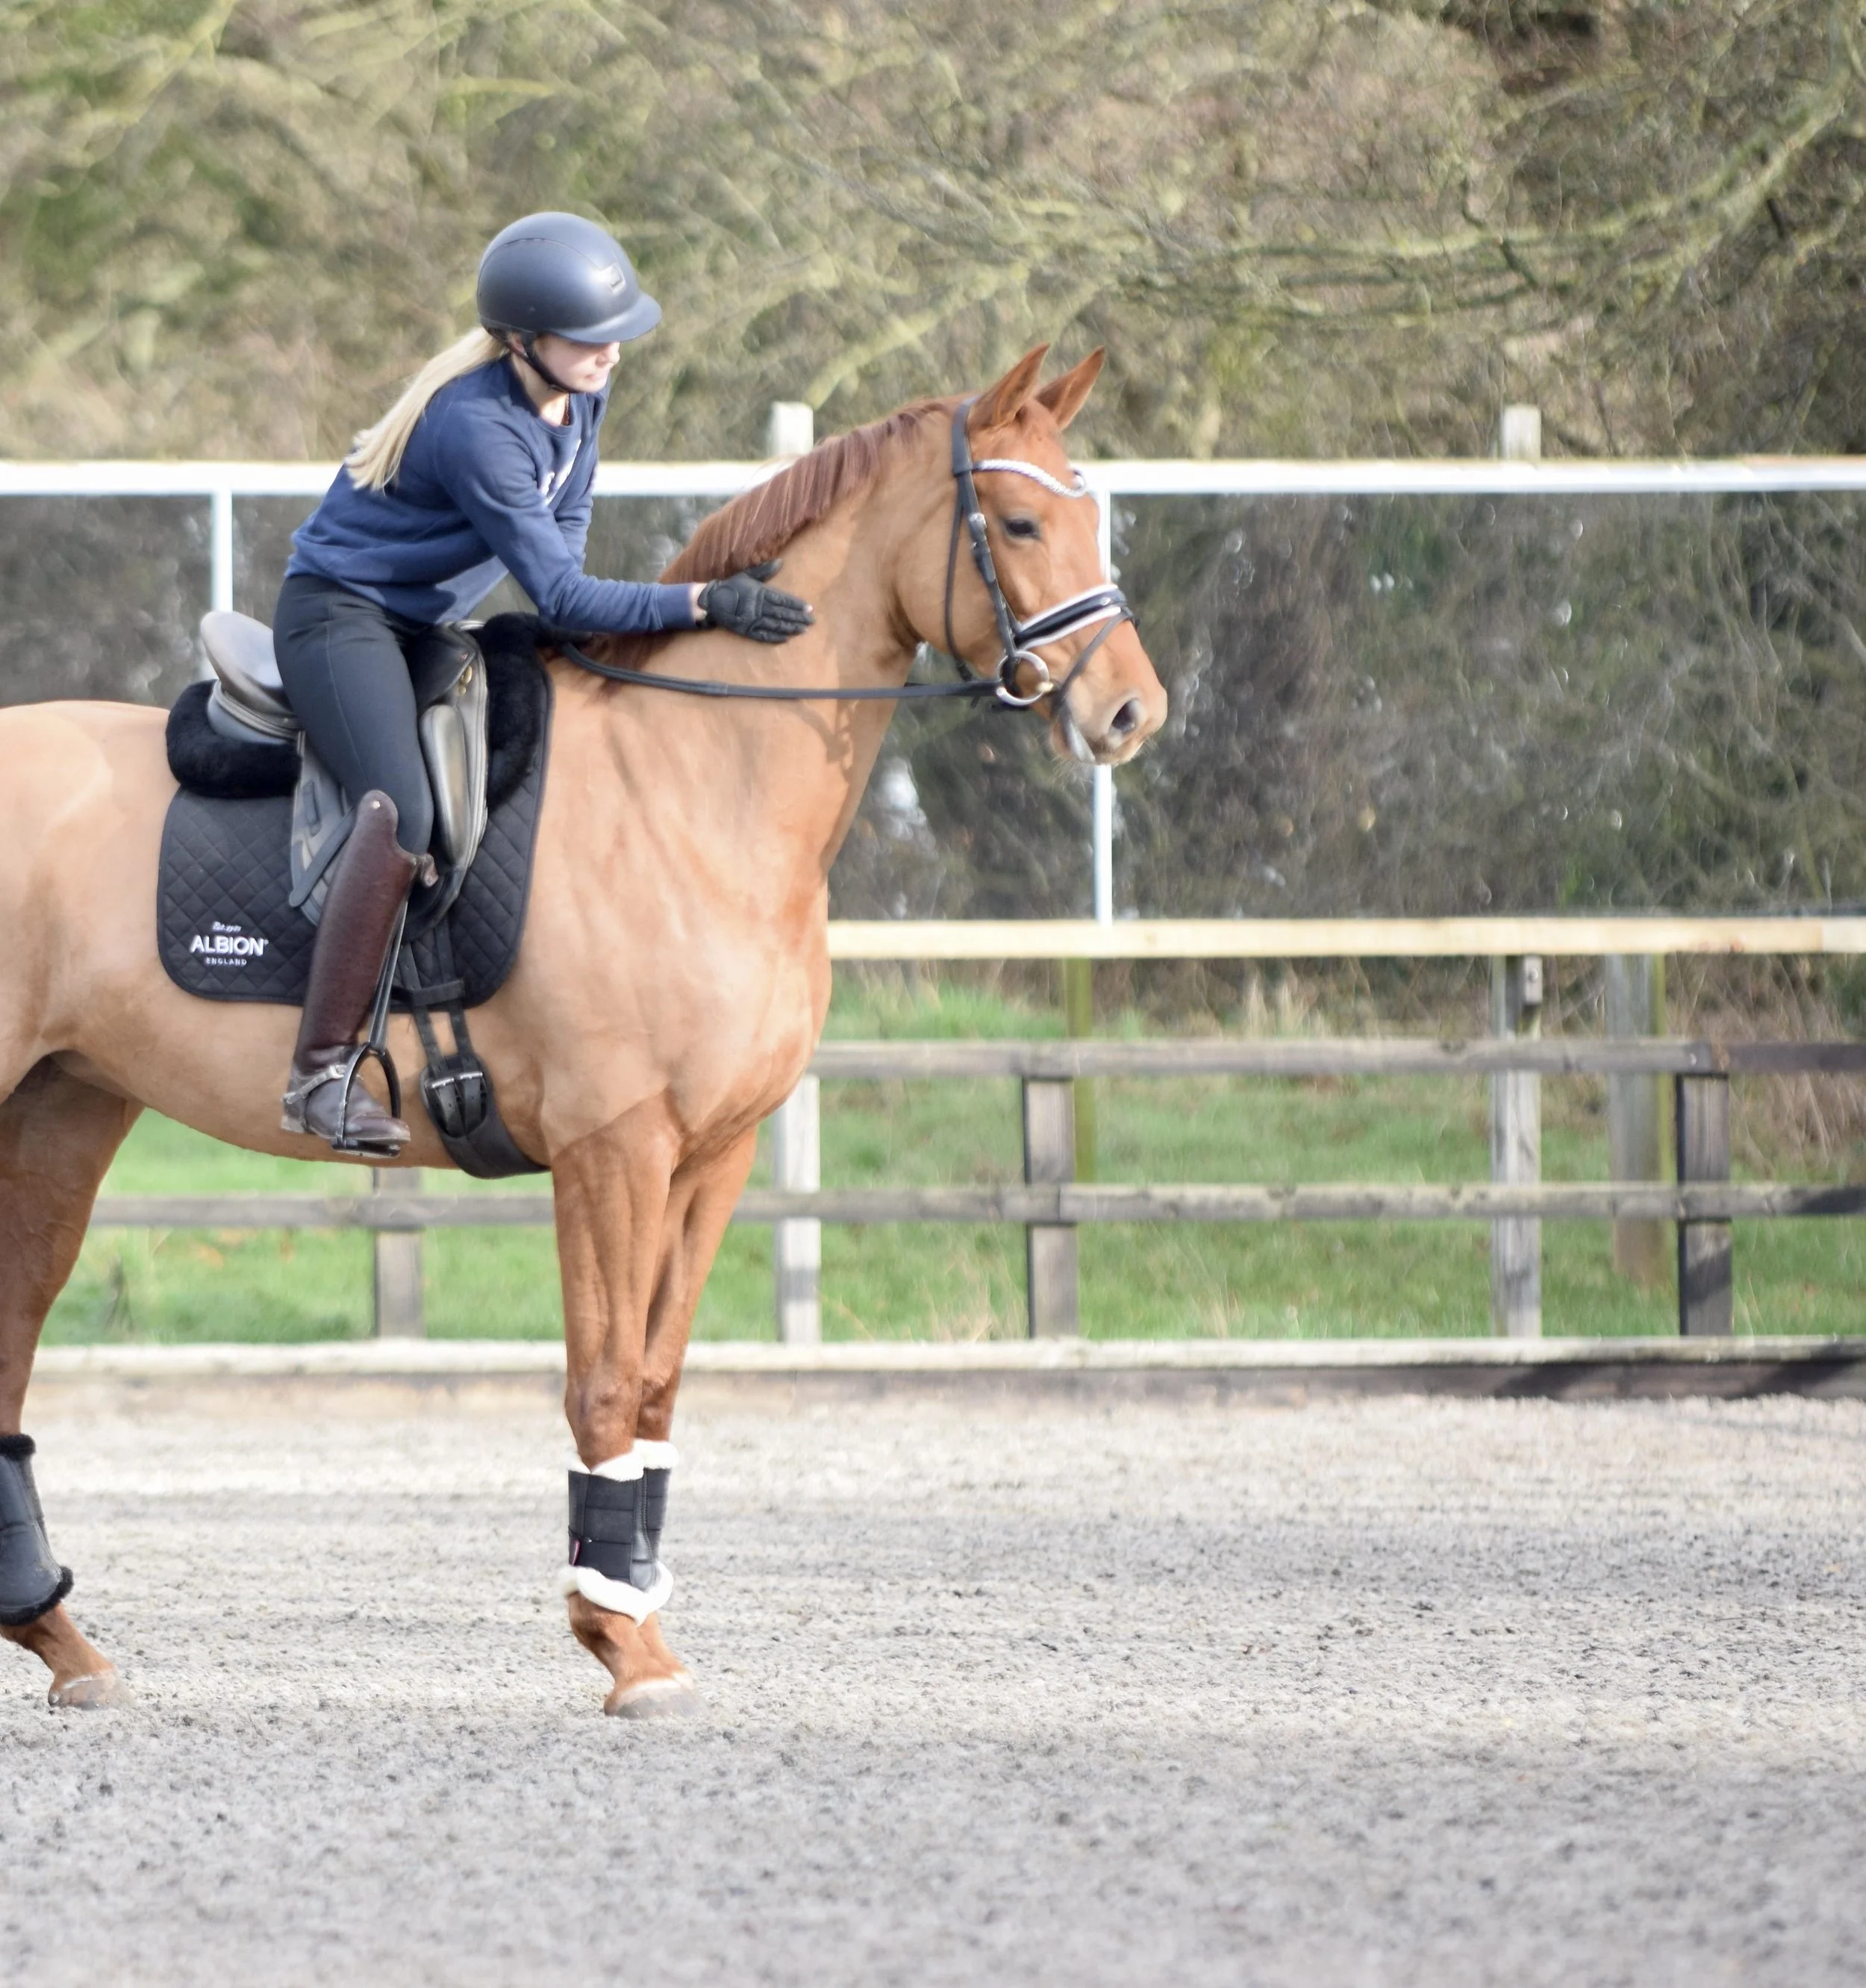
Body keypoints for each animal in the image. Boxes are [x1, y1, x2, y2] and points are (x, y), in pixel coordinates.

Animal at [0, 344, 1167, 1715]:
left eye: (1095, 515)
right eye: (1023, 524)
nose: (1134, 713)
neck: (699, 782)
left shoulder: (711, 1157)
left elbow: (655, 1385)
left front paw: (633, 1614)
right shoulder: (614, 1149)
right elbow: (603, 1382)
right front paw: (622, 1643)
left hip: (67, 1104)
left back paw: (62, 1640)